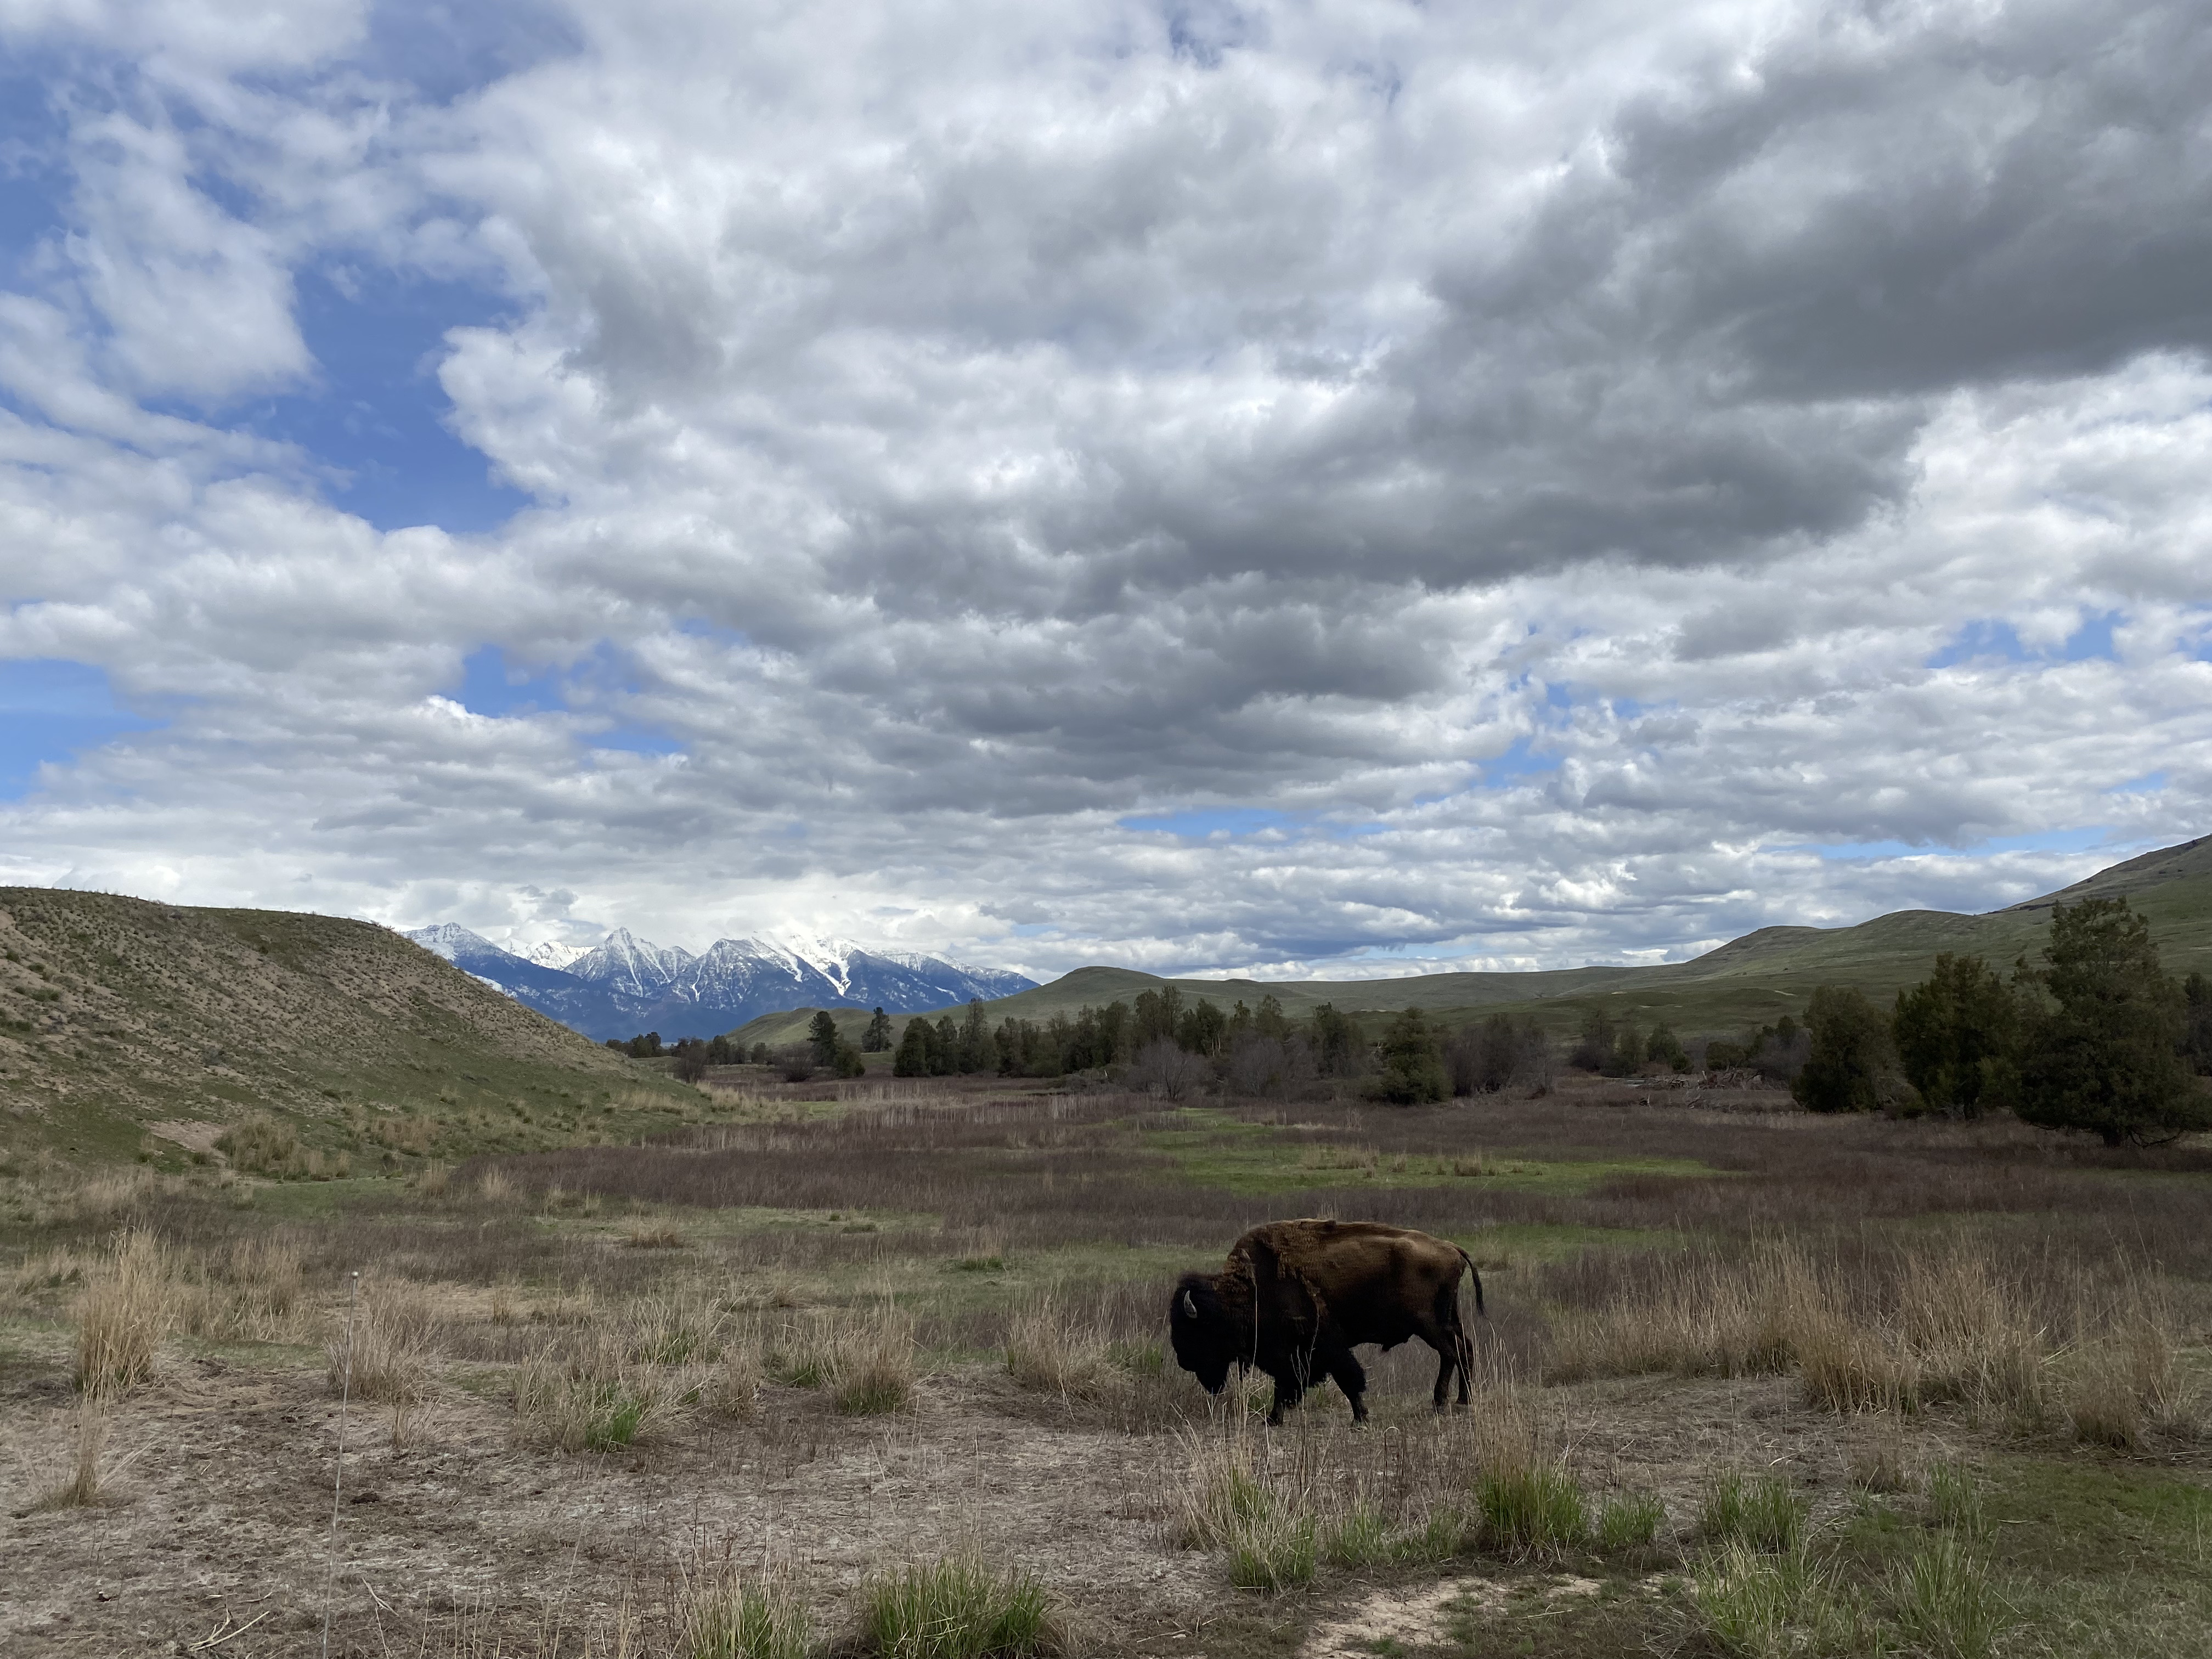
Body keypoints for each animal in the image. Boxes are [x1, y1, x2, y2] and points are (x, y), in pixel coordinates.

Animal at [1168, 1218, 1483, 1424]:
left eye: (1195, 1329)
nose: (1183, 1361)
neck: (1251, 1287)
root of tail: (1453, 1248)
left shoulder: (1322, 1345)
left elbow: (1348, 1378)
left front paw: (1360, 1418)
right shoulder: (1290, 1353)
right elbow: (1284, 1384)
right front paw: (1273, 1419)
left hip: (1429, 1325)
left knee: (1453, 1352)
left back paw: (1448, 1402)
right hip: (1446, 1321)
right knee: (1461, 1349)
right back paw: (1455, 1401)